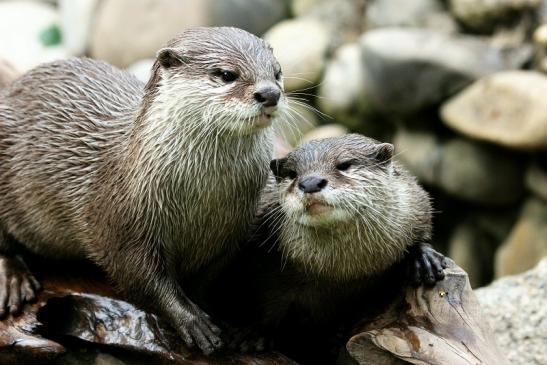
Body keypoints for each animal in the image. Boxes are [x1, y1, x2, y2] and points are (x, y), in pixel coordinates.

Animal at [0, 26, 286, 352]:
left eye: (277, 72)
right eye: (226, 74)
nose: (270, 93)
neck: (204, 199)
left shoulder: (233, 231)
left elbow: (207, 279)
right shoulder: (121, 220)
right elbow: (141, 277)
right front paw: (193, 322)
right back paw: (13, 278)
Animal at [210, 133, 446, 362]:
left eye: (344, 165)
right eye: (293, 174)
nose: (310, 182)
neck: (341, 271)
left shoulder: (414, 201)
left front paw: (423, 258)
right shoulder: (265, 261)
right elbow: (267, 301)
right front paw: (253, 334)